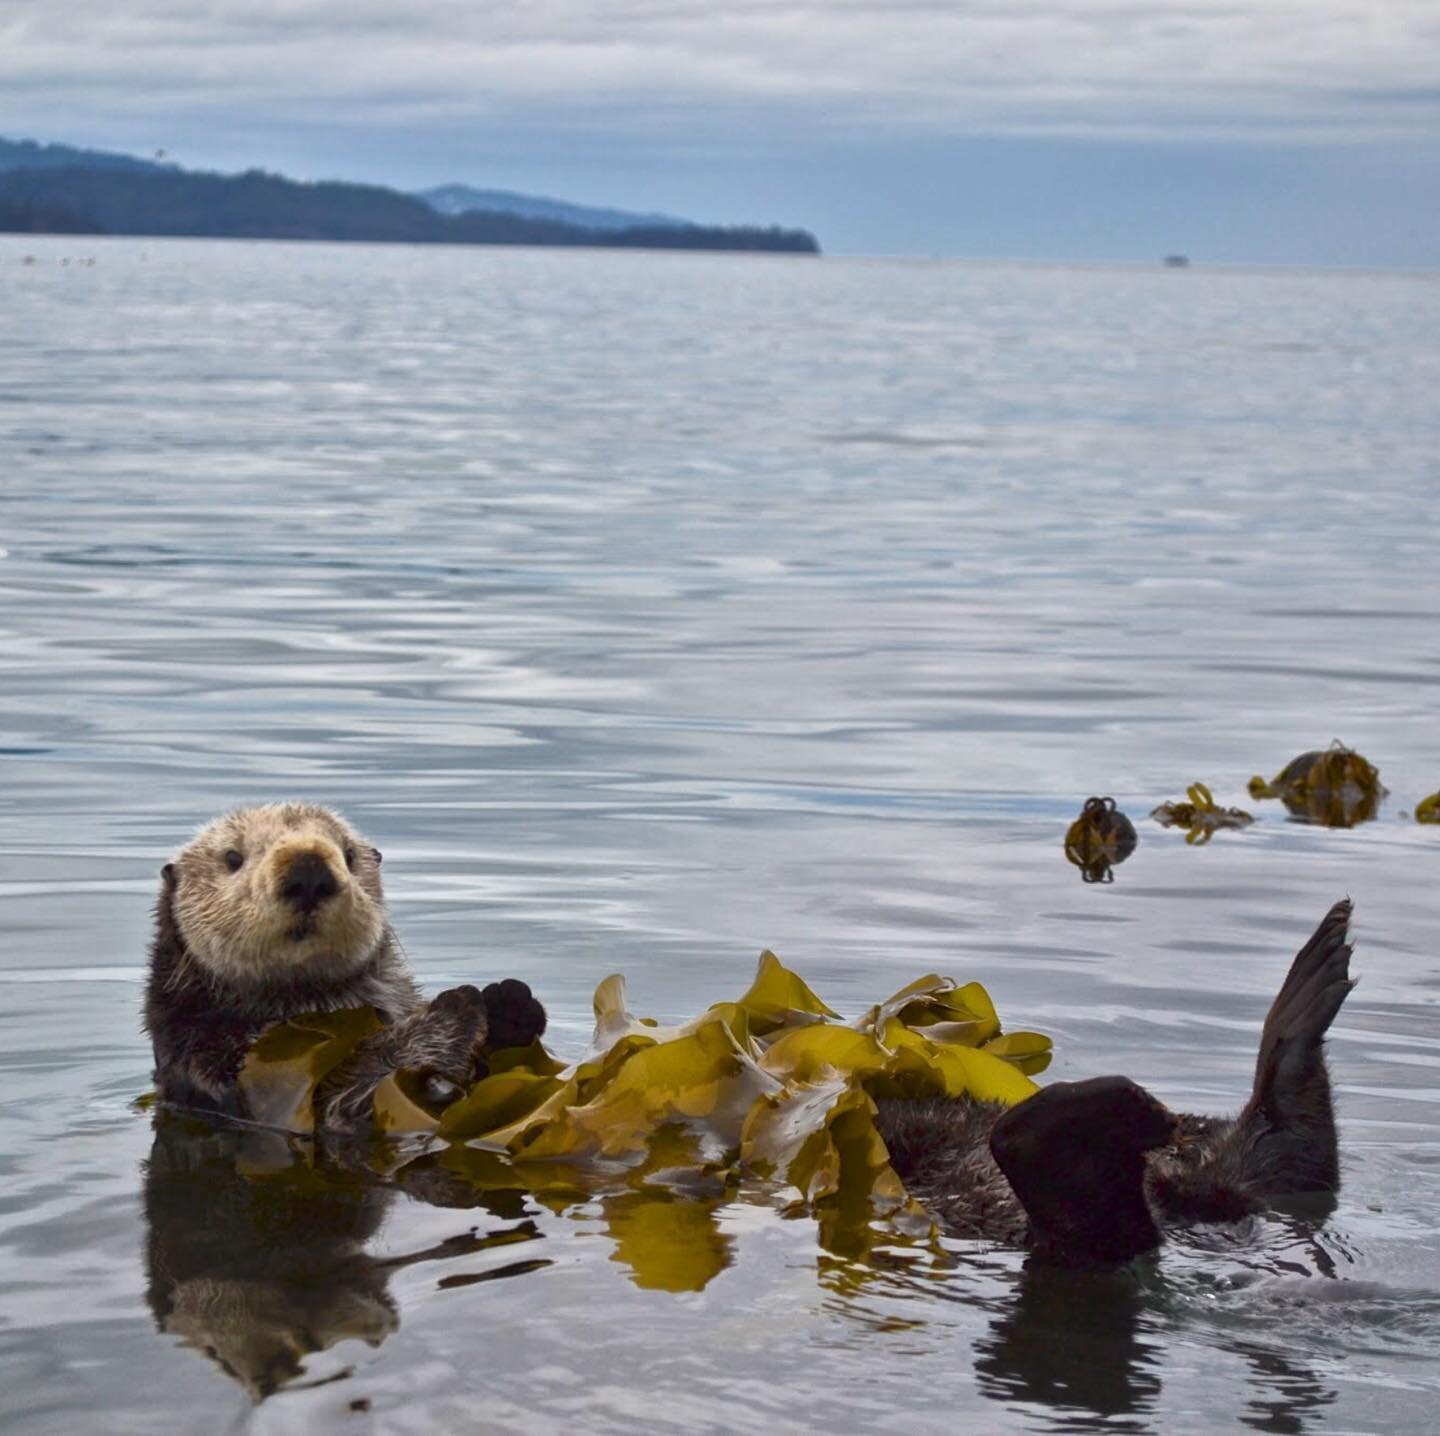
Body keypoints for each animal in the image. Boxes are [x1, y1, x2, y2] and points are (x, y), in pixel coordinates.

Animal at [144, 806, 544, 1129]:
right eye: (232, 857)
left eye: (349, 855)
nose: (308, 870)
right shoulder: (223, 1071)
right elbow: (352, 1092)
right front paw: (457, 1005)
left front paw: (509, 1003)